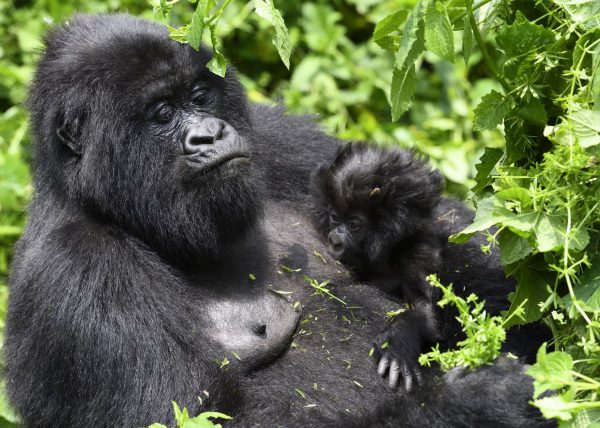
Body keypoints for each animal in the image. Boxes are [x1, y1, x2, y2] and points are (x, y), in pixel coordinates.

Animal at [310, 142, 446, 392]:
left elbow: (424, 311)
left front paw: (400, 341)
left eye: (354, 225)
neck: (386, 253)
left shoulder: (416, 253)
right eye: (334, 217)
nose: (334, 240)